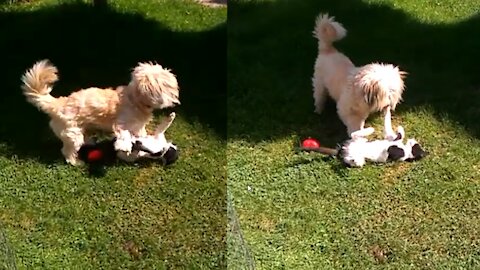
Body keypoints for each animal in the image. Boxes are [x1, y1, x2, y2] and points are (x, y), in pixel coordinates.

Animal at [22, 59, 180, 165]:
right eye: (168, 86)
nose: (176, 97)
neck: (135, 100)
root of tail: (57, 104)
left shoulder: (138, 126)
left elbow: (141, 133)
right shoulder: (121, 123)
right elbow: (124, 134)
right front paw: (126, 146)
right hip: (73, 134)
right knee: (67, 151)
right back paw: (75, 162)